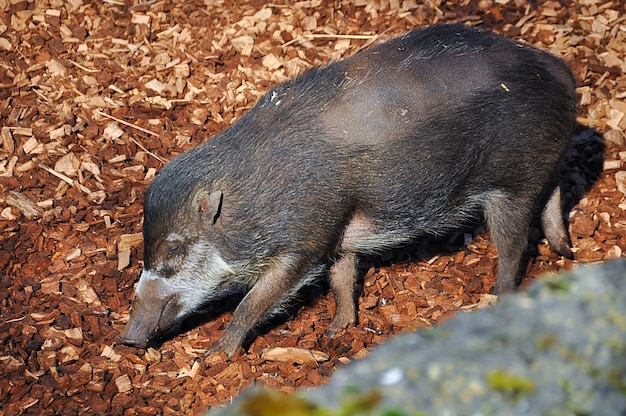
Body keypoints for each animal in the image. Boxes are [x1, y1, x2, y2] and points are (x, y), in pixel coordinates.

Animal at [118, 23, 576, 358]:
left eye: (175, 249)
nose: (127, 338)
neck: (252, 201)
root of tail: (561, 70)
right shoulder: (339, 234)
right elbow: (342, 277)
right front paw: (336, 329)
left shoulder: (305, 240)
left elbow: (255, 300)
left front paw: (216, 353)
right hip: (540, 167)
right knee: (556, 189)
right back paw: (566, 251)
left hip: (512, 182)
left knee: (514, 245)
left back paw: (500, 296)